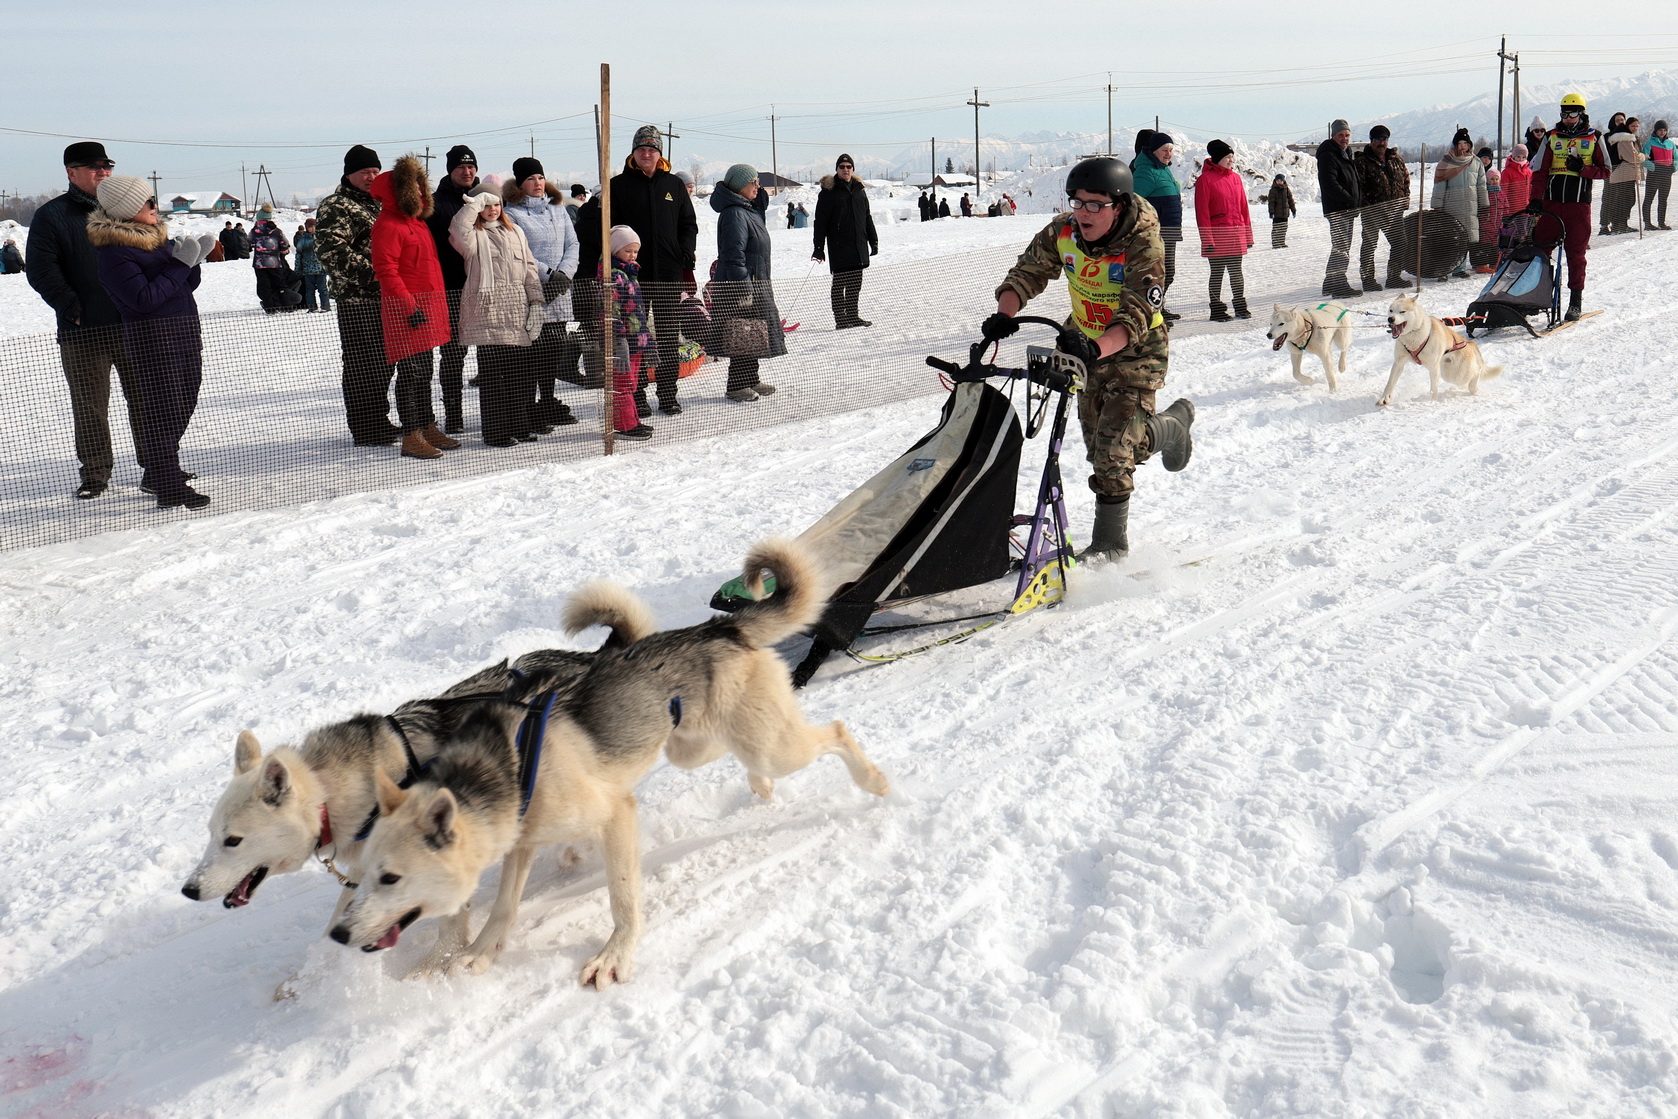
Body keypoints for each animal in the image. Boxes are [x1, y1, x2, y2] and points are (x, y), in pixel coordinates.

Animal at [180, 603, 651, 939]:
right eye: (209, 834)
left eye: (232, 840)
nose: (188, 890)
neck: (335, 789)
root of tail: (594, 658)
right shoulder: (366, 872)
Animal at [328, 543, 899, 986]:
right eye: (360, 875)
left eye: (390, 878)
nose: (337, 933)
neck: (509, 765)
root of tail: (719, 627)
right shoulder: (524, 843)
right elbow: (504, 906)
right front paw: (479, 953)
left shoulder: (616, 816)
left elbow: (623, 899)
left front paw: (613, 957)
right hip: (694, 745)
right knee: (741, 755)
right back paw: (760, 786)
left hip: (770, 745)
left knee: (835, 732)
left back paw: (874, 781)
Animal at [1375, 293, 1510, 407]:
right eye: (1391, 310)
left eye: (1402, 311)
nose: (1390, 319)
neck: (1414, 336)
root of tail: (1469, 343)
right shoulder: (1399, 363)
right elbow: (1390, 383)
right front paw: (1384, 398)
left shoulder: (1433, 367)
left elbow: (1434, 388)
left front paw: (1432, 402)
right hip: (1448, 373)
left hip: (1457, 374)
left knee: (1477, 371)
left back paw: (1474, 388)